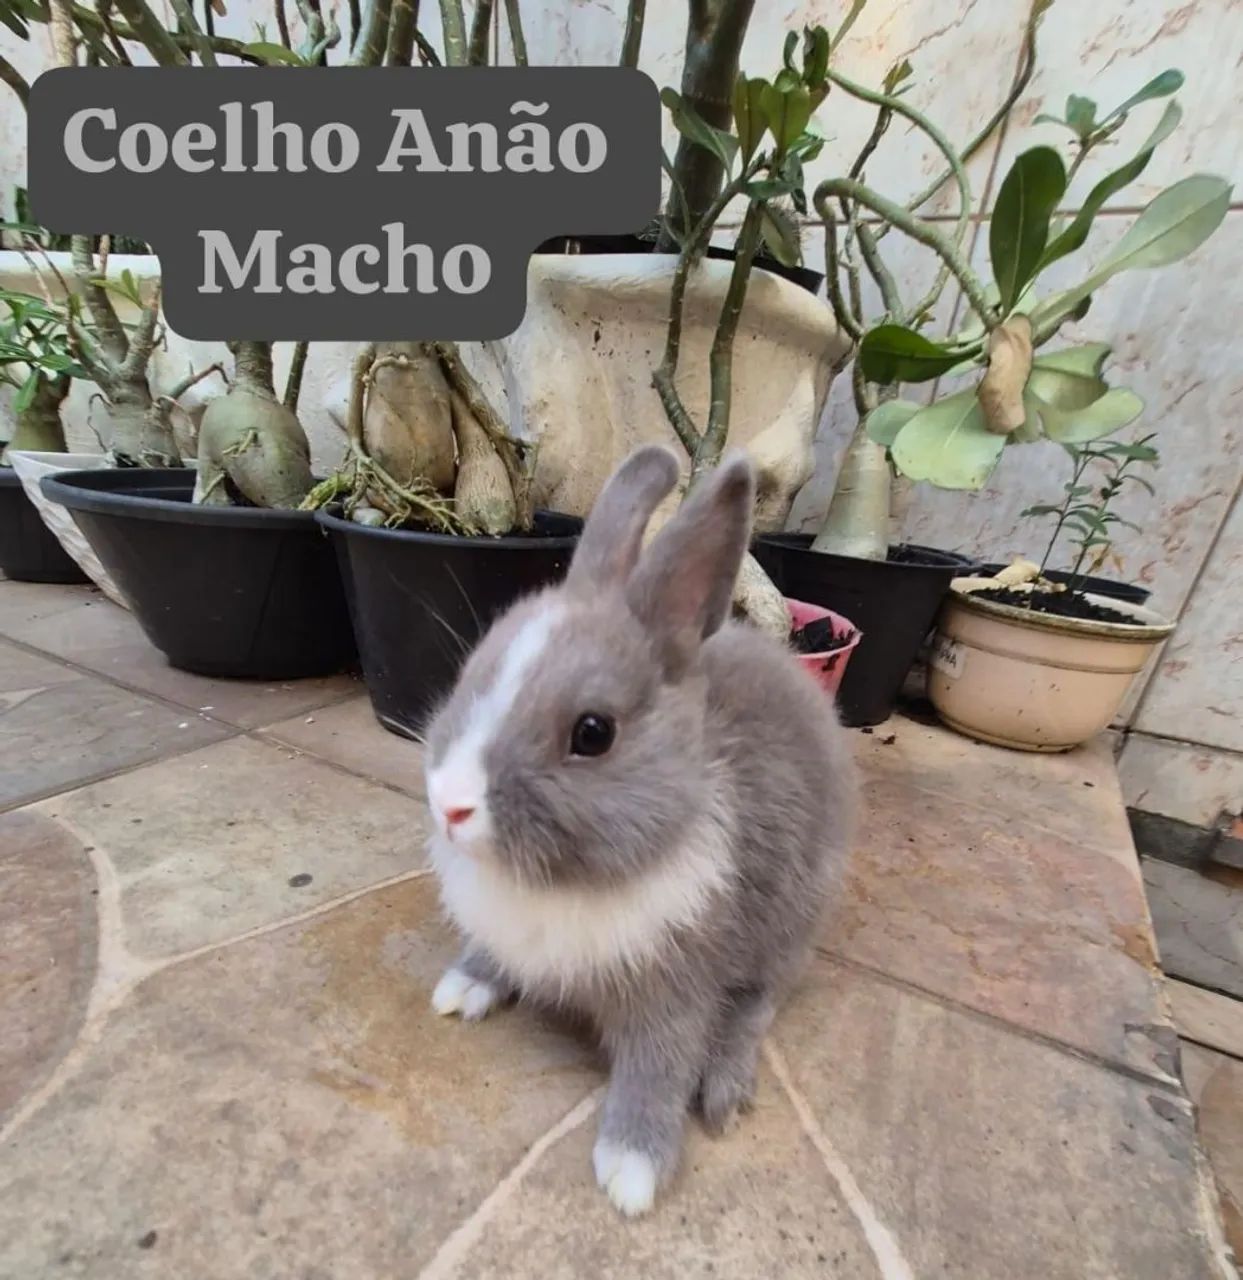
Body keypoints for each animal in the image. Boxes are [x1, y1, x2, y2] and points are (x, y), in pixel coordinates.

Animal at [422, 443, 856, 1217]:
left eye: (592, 734)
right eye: (471, 675)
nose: (450, 804)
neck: (560, 880)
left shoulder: (674, 996)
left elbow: (657, 1071)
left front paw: (632, 1171)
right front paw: (462, 988)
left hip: (789, 927)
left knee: (757, 1005)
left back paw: (724, 1091)